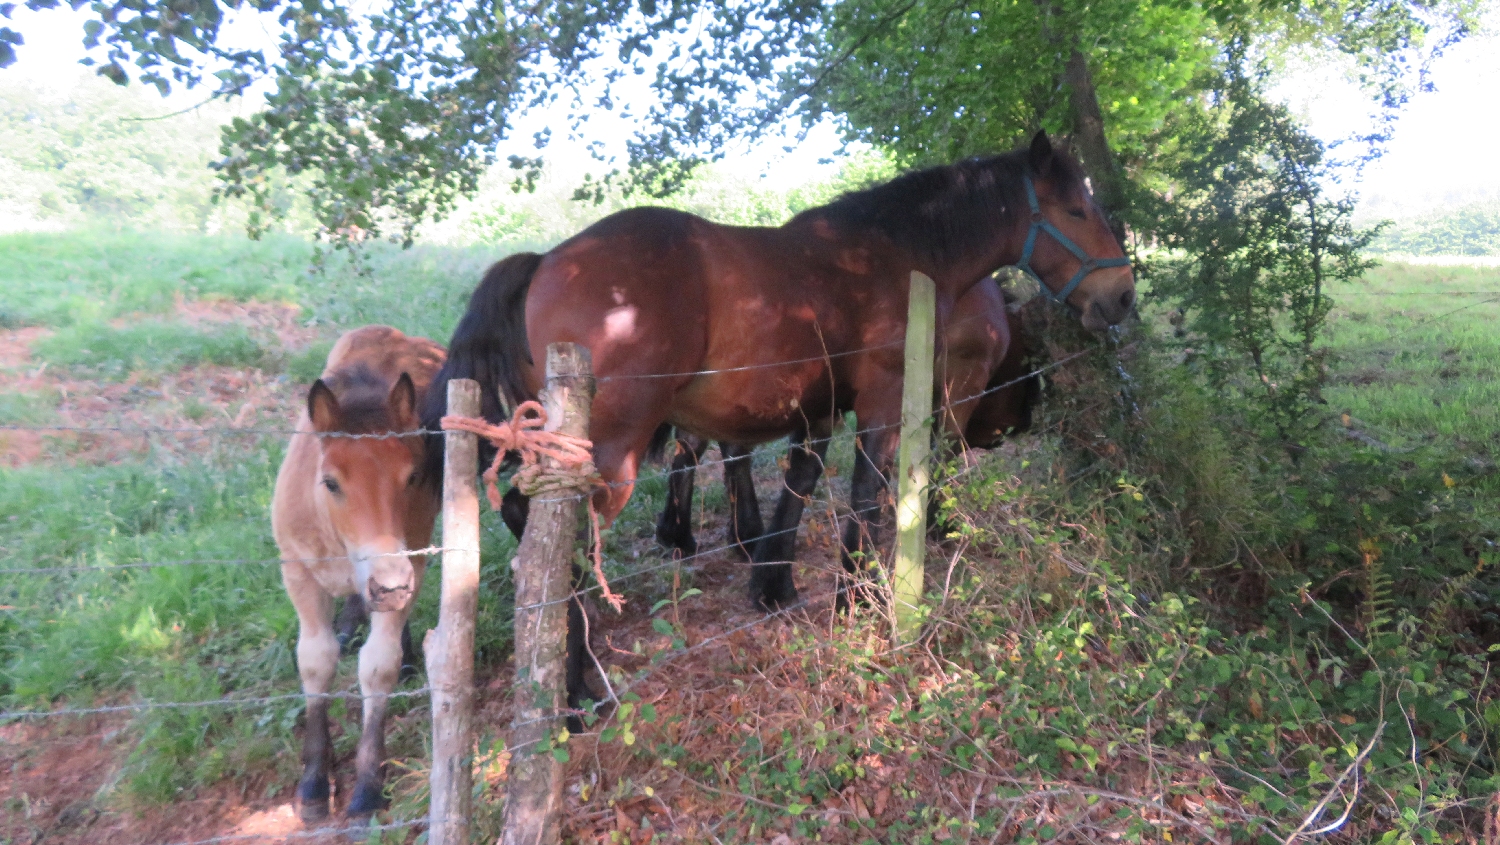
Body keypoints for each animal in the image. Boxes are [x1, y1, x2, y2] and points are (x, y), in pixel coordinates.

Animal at [271, 324, 444, 822]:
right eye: (330, 482)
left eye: (413, 477)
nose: (390, 585)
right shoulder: (296, 572)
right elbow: (315, 660)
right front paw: (313, 781)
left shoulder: (411, 561)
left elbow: (378, 666)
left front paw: (368, 786)